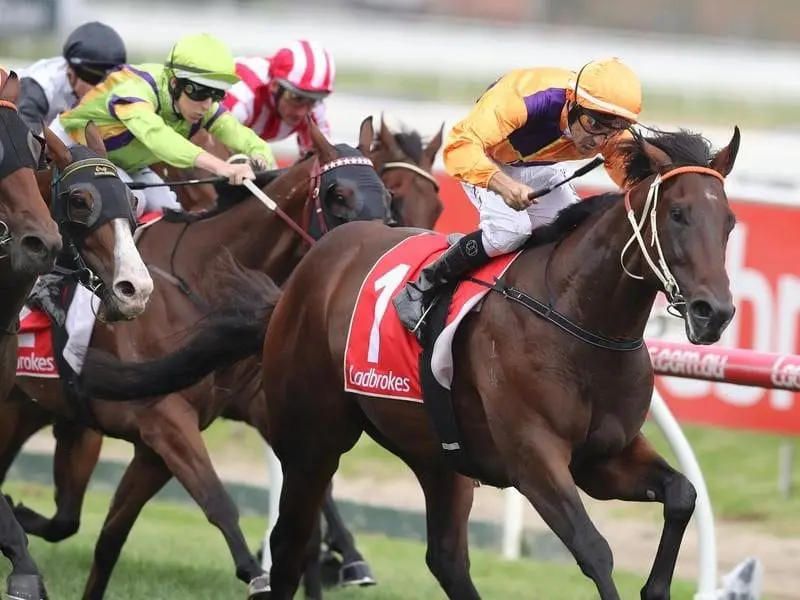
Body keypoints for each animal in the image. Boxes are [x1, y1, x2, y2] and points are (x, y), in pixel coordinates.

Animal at [0, 117, 394, 600]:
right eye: (339, 195)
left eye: (386, 196)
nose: (370, 261)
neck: (197, 279)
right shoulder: (166, 419)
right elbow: (218, 502)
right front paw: (257, 573)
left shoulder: (159, 444)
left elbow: (110, 537)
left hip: (39, 412)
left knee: (66, 514)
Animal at [76, 124, 744, 596]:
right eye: (678, 213)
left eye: (730, 222)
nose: (714, 311)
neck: (581, 320)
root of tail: (308, 270)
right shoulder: (535, 459)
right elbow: (594, 549)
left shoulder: (603, 458)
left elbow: (683, 495)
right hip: (311, 438)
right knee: (290, 546)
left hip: (439, 455)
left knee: (445, 559)